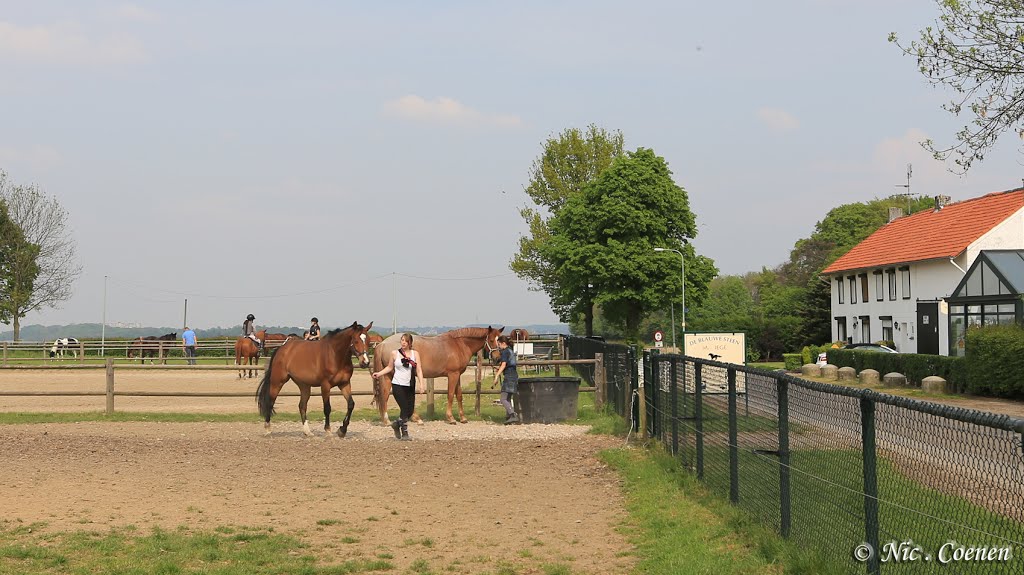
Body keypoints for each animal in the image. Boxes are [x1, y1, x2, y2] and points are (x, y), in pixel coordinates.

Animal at [374, 325, 505, 423]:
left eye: (499, 340)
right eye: (491, 340)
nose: (498, 359)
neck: (459, 344)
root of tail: (383, 343)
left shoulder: (458, 375)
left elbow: (459, 395)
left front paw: (463, 418)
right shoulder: (453, 375)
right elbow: (450, 395)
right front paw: (451, 418)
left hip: (389, 375)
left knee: (386, 394)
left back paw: (395, 419)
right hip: (393, 374)